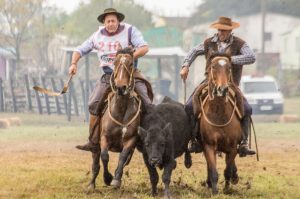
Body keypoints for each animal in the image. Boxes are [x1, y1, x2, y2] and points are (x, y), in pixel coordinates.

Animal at [88, 47, 142, 190]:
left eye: (131, 64)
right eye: (115, 63)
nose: (120, 87)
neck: (121, 109)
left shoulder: (131, 139)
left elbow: (123, 157)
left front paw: (116, 179)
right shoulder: (104, 137)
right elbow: (104, 156)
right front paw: (107, 178)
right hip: (95, 141)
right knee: (96, 158)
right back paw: (91, 184)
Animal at [197, 52, 244, 194]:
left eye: (229, 68)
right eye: (213, 67)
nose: (222, 89)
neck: (219, 115)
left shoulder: (233, 148)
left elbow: (228, 169)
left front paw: (227, 188)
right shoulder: (209, 145)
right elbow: (213, 170)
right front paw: (214, 190)